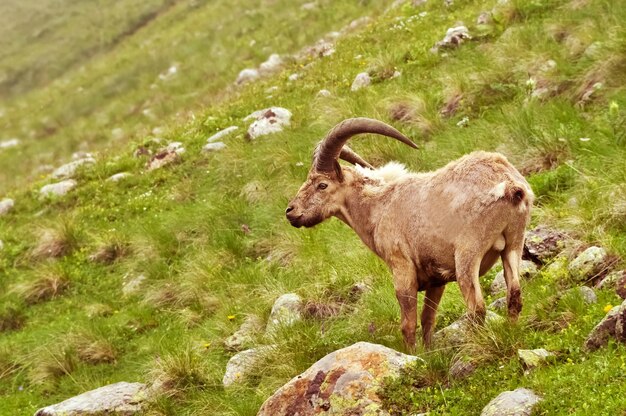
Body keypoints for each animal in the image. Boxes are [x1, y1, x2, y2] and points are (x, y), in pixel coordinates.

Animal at [284, 117, 532, 348]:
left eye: (322, 185)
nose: (290, 211)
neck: (379, 206)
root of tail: (509, 185)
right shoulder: (437, 279)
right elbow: (428, 318)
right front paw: (430, 352)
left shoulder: (402, 267)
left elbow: (408, 323)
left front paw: (414, 356)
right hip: (514, 243)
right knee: (514, 295)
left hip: (467, 254)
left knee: (477, 308)